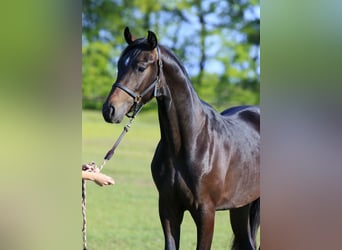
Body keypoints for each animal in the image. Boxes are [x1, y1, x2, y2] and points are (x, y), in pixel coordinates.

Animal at [101, 27, 260, 250]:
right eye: (119, 65)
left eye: (141, 67)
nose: (109, 110)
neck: (190, 143)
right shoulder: (168, 208)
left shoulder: (206, 213)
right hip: (241, 207)